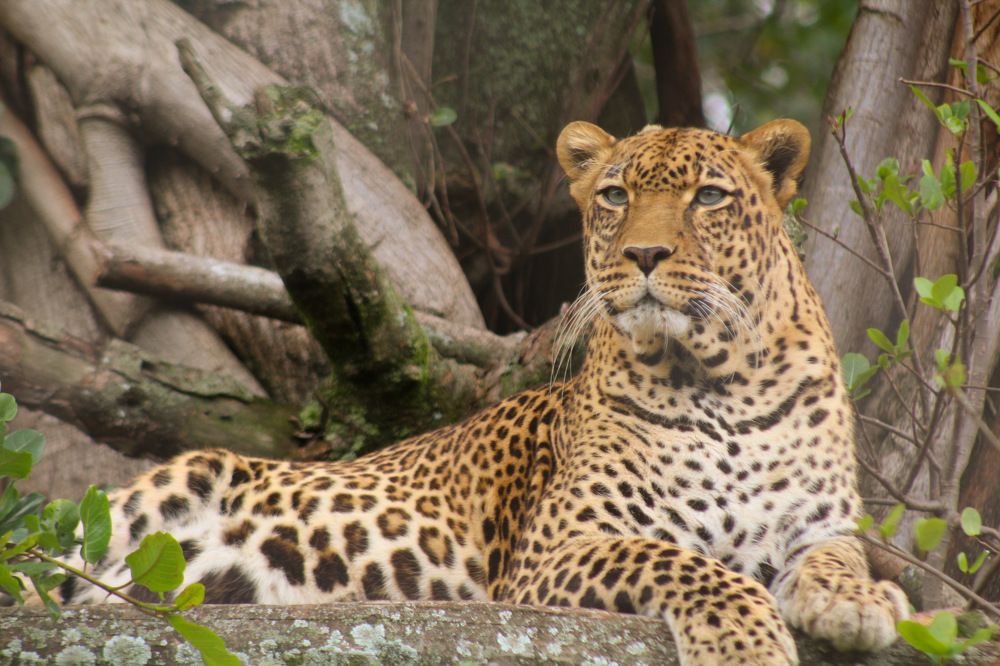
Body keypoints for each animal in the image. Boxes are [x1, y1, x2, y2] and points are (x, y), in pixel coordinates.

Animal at [50, 119, 909, 665]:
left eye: (709, 197)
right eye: (614, 196)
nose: (644, 254)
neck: (720, 379)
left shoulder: (818, 525)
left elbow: (843, 557)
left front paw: (862, 603)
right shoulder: (556, 551)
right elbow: (688, 564)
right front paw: (744, 641)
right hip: (173, 483)